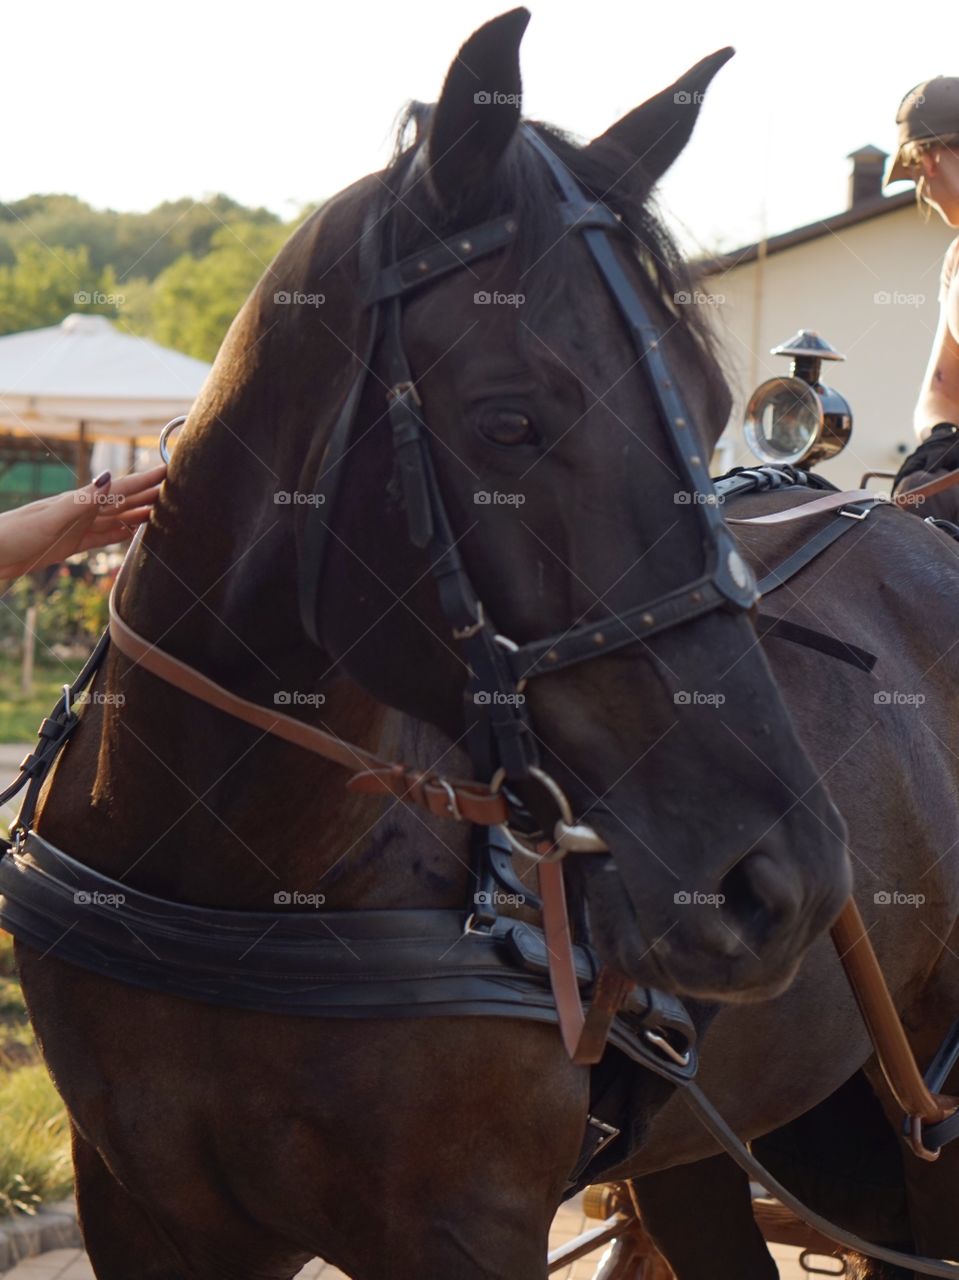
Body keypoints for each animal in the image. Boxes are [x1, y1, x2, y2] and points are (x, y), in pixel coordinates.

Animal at [7, 10, 851, 1279]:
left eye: (711, 409)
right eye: (508, 420)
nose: (781, 881)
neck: (231, 869)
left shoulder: (464, 1228)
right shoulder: (137, 1206)